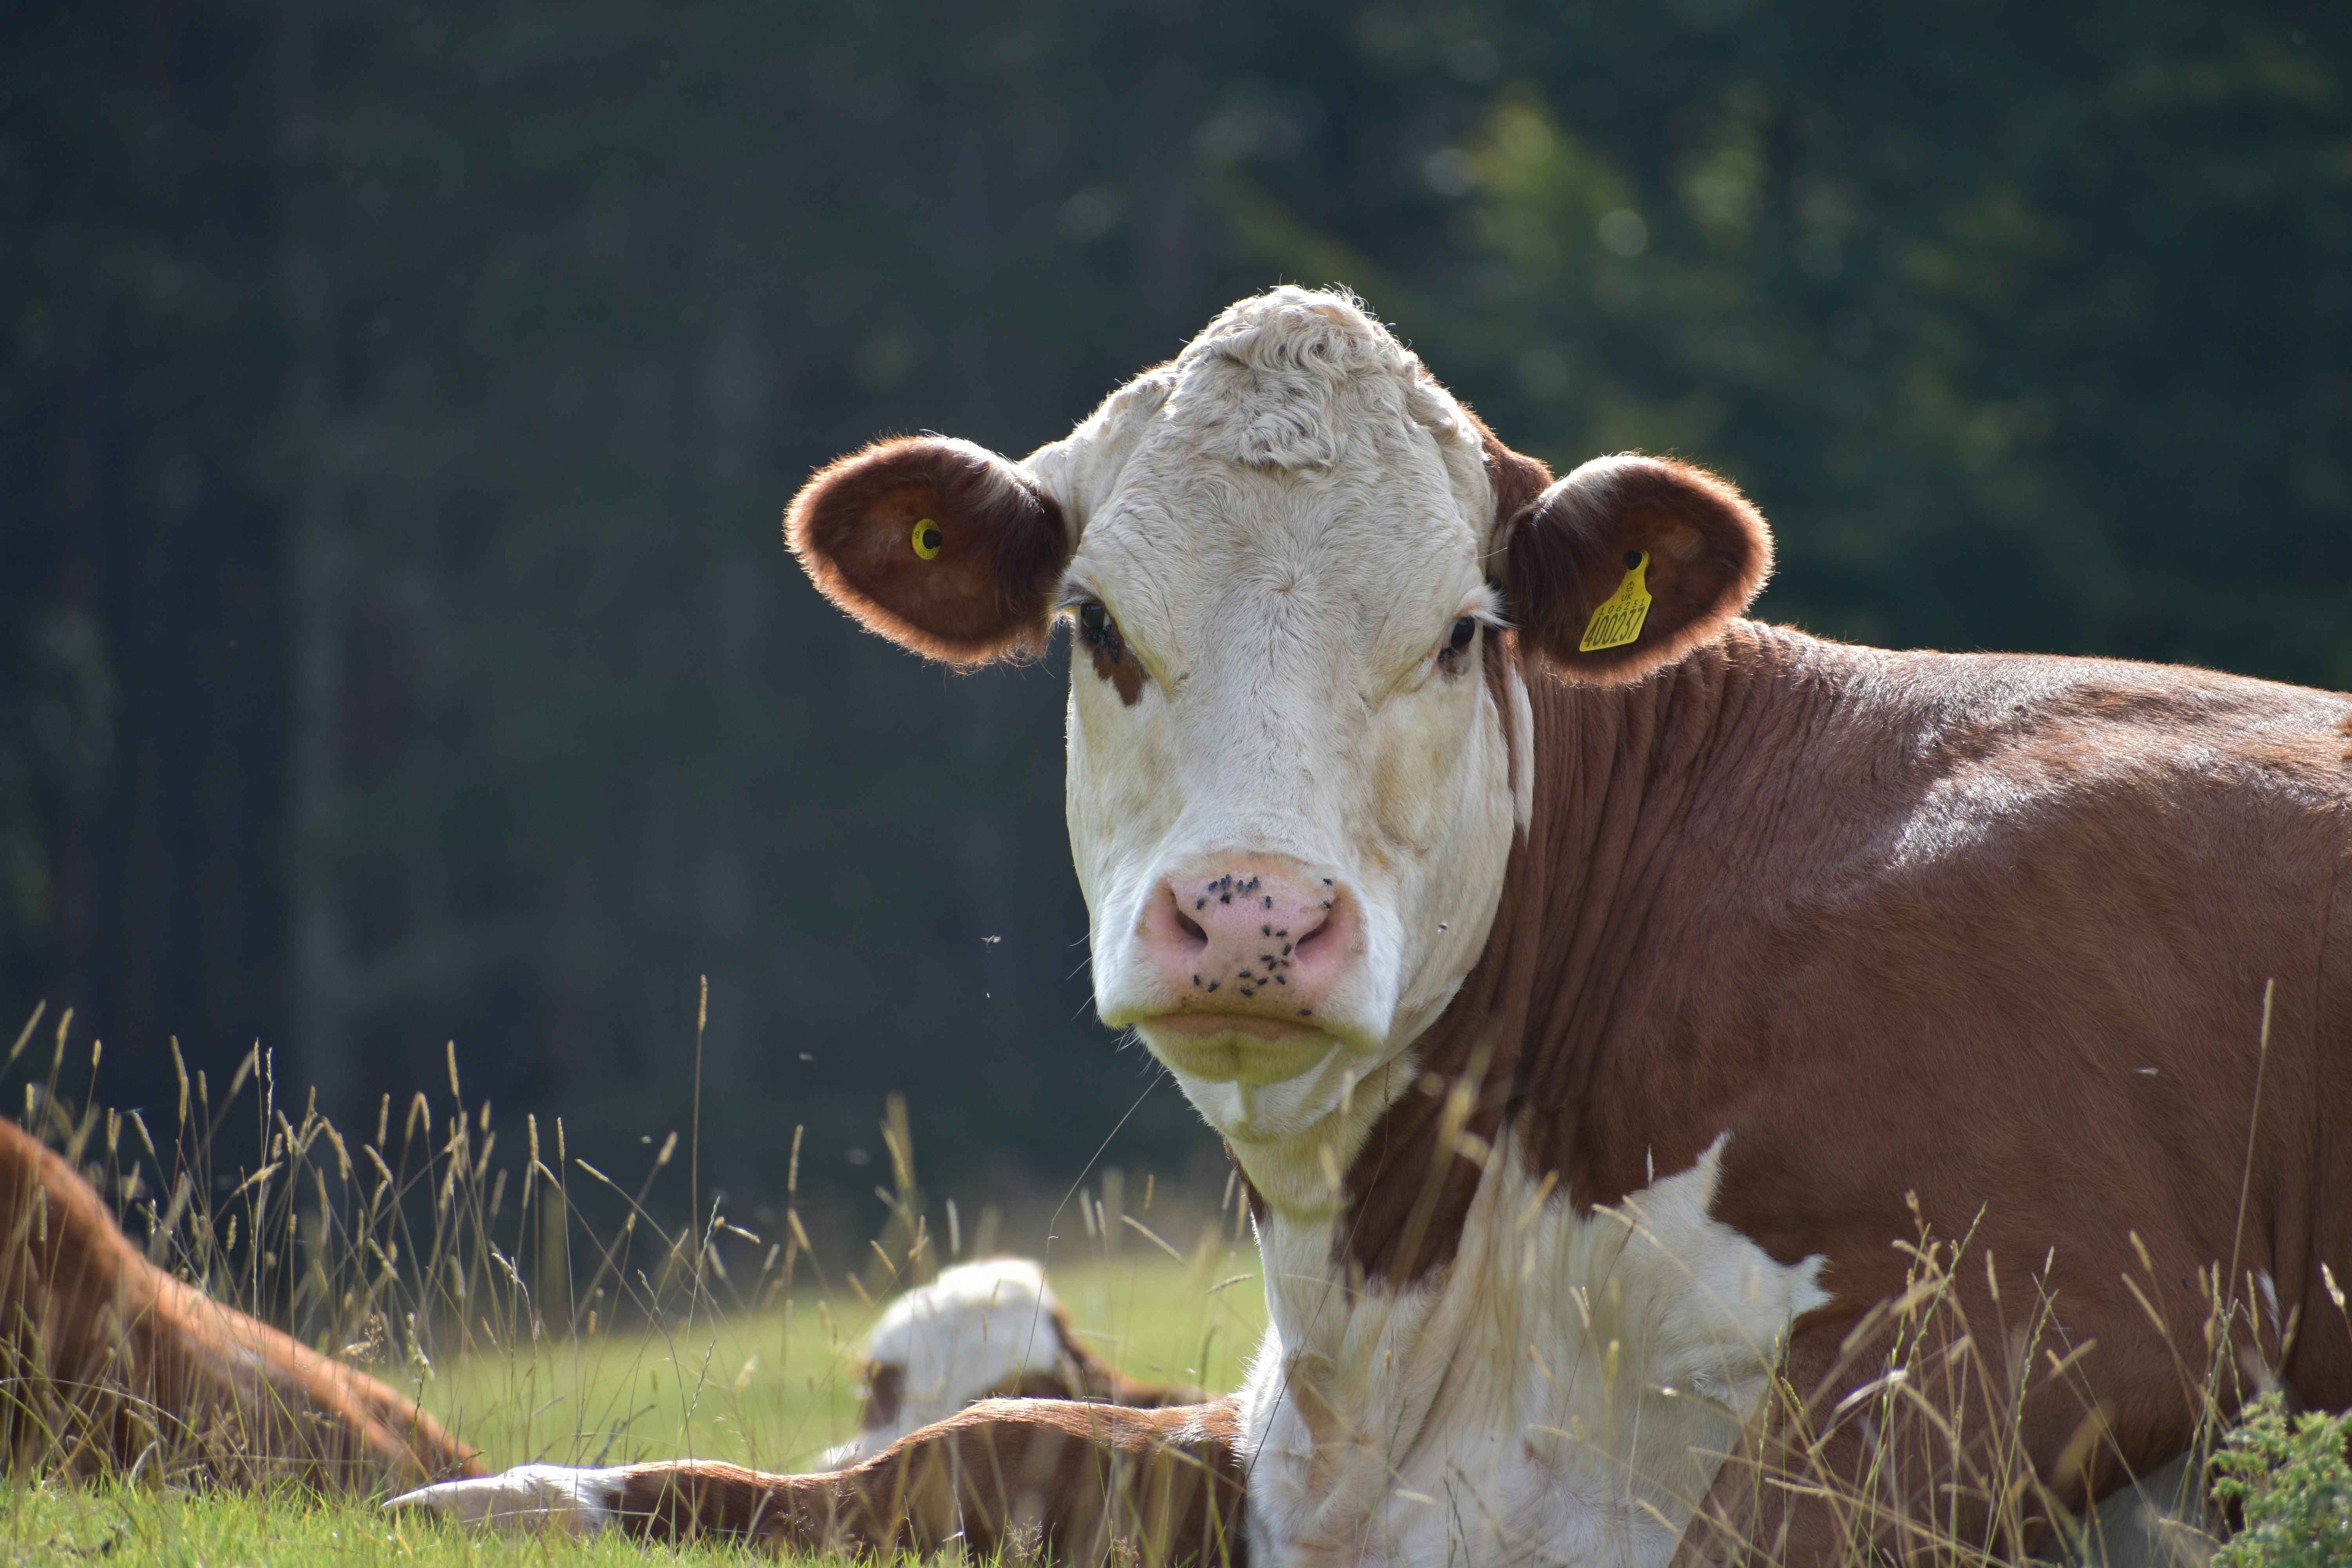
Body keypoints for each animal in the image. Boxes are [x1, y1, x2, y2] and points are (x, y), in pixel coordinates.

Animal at [390, 288, 2352, 1561]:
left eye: (1463, 631)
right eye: (1094, 621)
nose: (1248, 913)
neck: (1407, 1299)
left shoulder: (2064, 1302)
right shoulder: (1282, 1460)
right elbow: (958, 1445)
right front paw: (499, 1494)